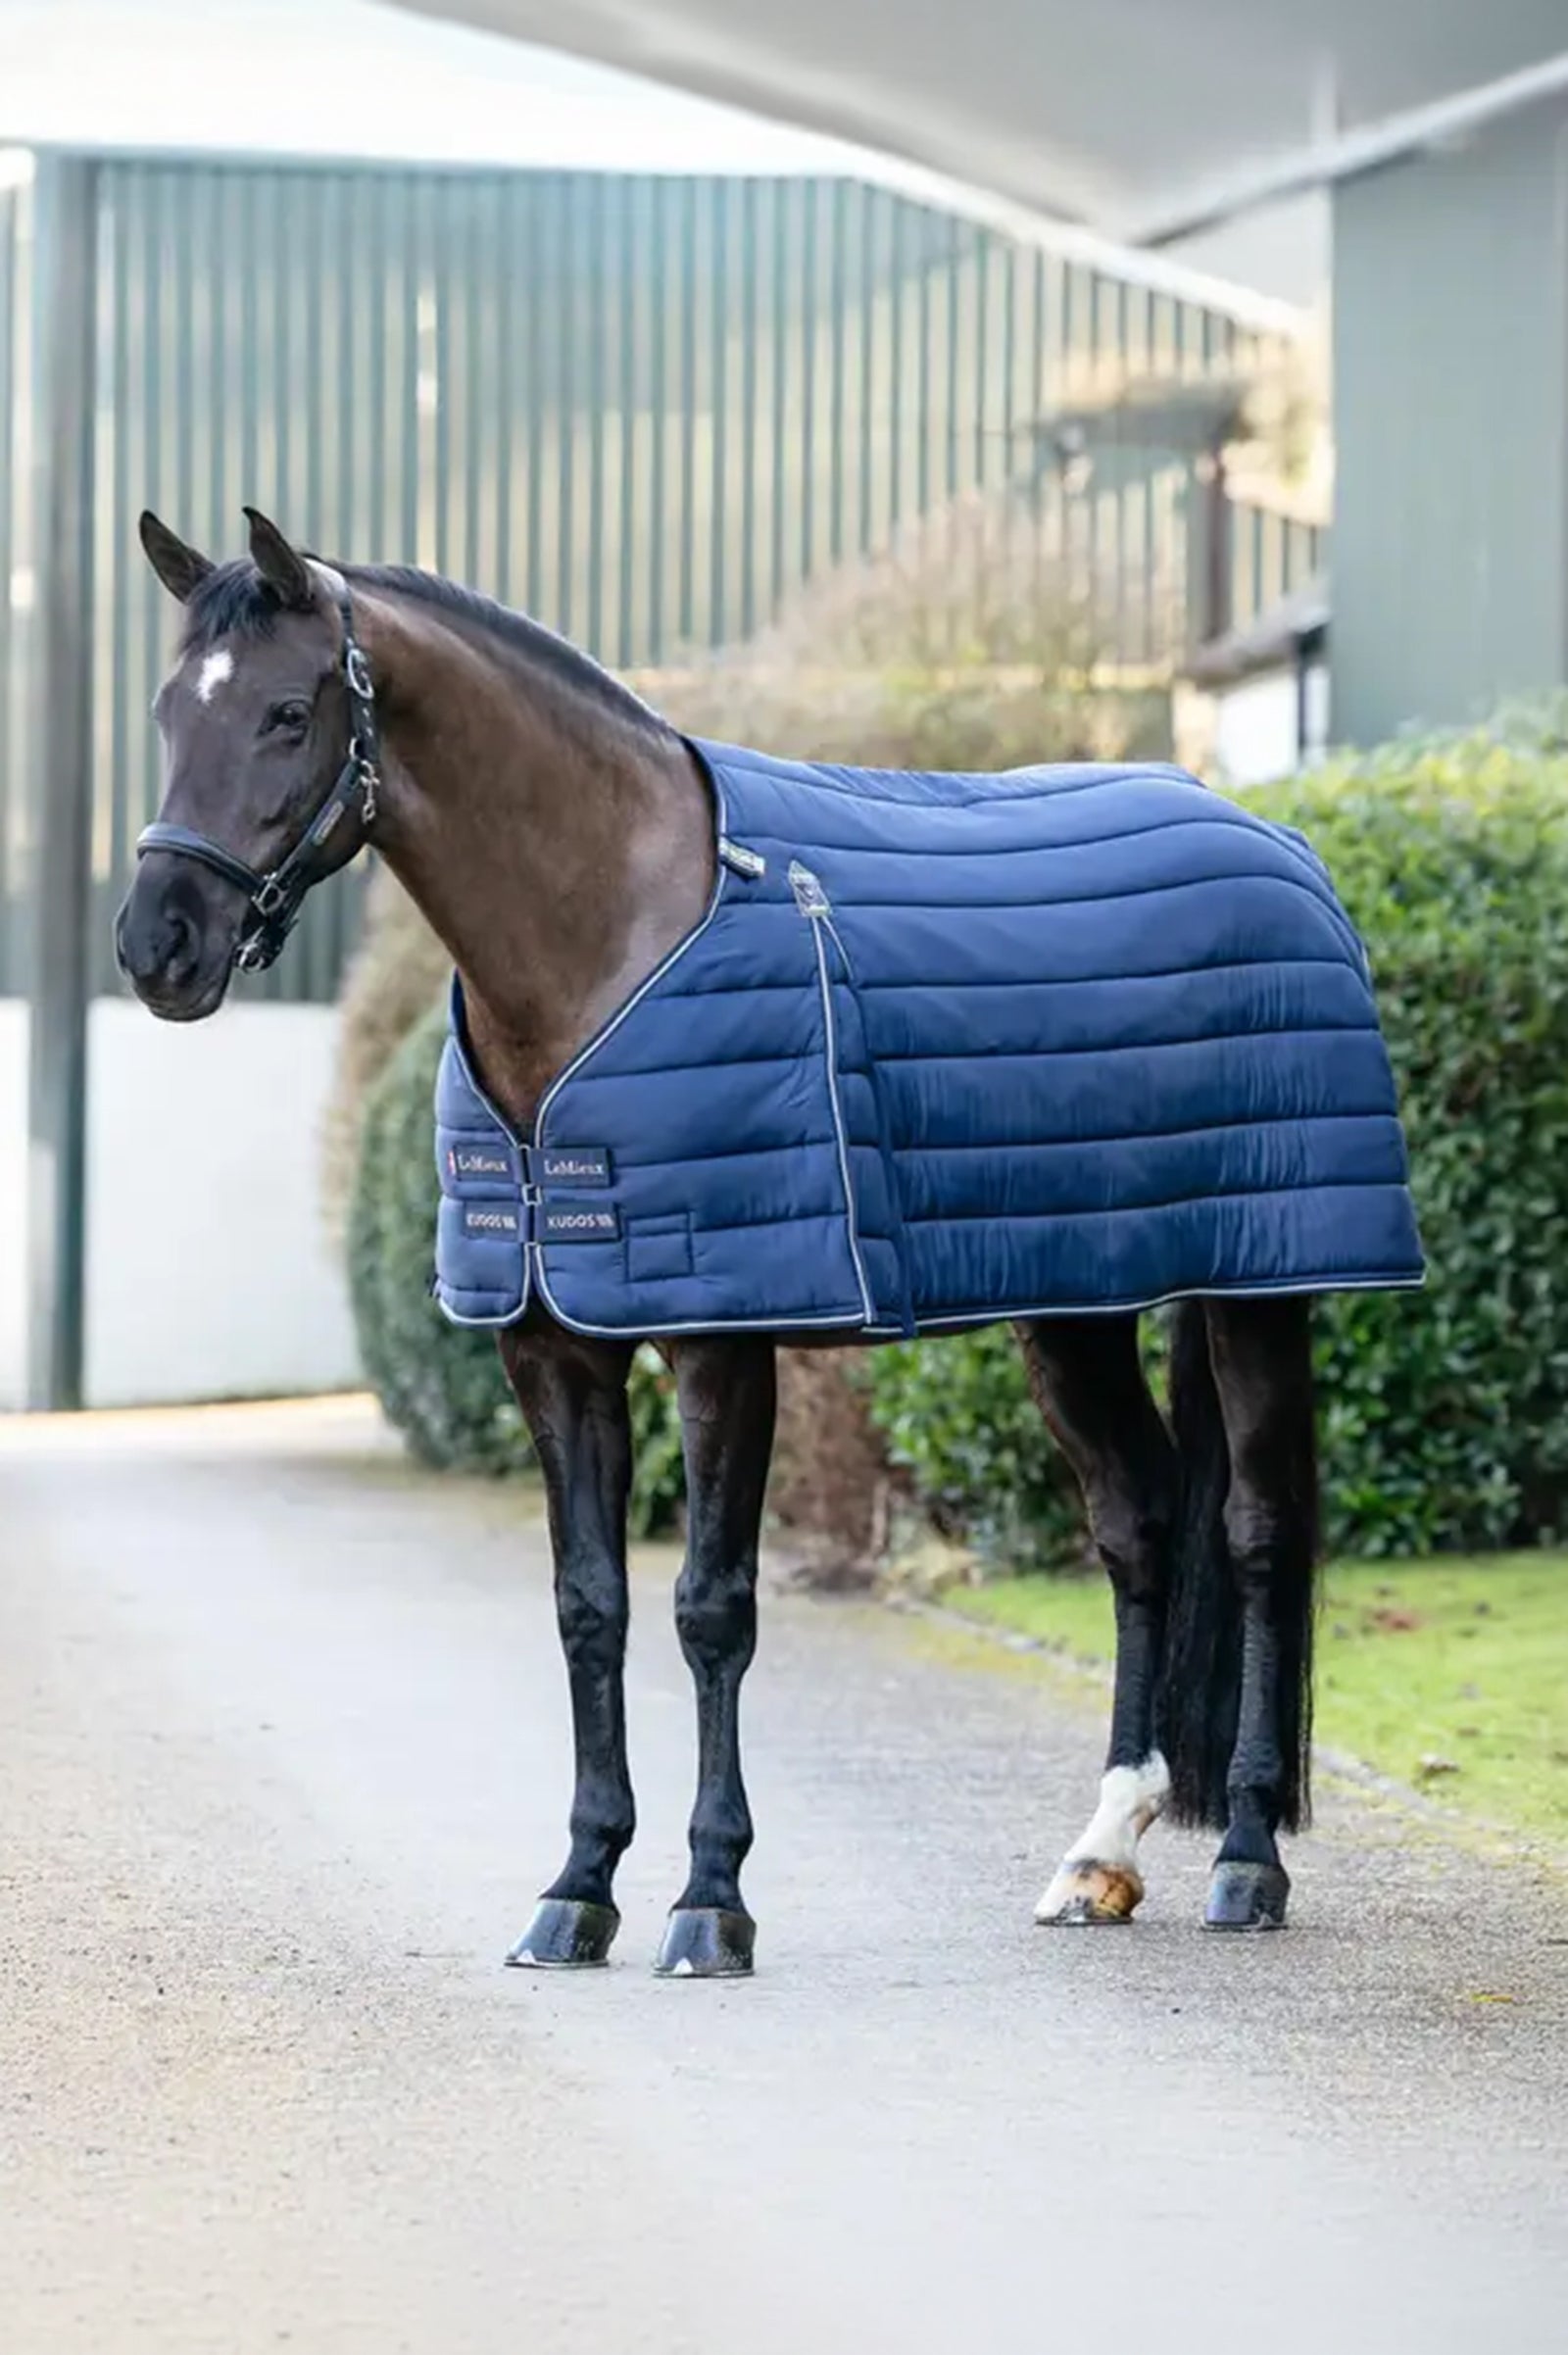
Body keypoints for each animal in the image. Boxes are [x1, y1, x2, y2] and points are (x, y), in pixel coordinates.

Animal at [116, 508, 1422, 1977]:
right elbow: (589, 1605)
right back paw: (1100, 1851)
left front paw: (708, 1899)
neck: (611, 934)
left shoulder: (719, 1340)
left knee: (1255, 1533)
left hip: (1264, 1286)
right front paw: (576, 1888)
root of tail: (1278, 842)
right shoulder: (553, 1349)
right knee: (1139, 1522)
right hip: (1073, 1305)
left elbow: (710, 1607)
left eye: (289, 712)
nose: (158, 945)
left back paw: (1247, 1857)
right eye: (170, 710)